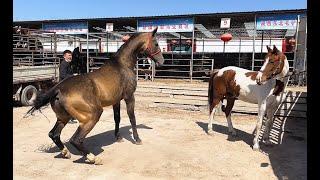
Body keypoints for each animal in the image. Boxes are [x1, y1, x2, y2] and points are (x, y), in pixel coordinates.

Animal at [26, 27, 164, 165]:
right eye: (156, 43)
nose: (162, 61)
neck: (122, 64)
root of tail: (58, 89)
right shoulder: (129, 97)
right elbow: (132, 118)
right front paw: (137, 139)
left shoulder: (116, 101)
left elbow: (117, 118)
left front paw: (118, 137)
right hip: (92, 115)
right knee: (75, 139)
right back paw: (93, 158)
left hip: (63, 117)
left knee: (53, 134)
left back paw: (66, 153)